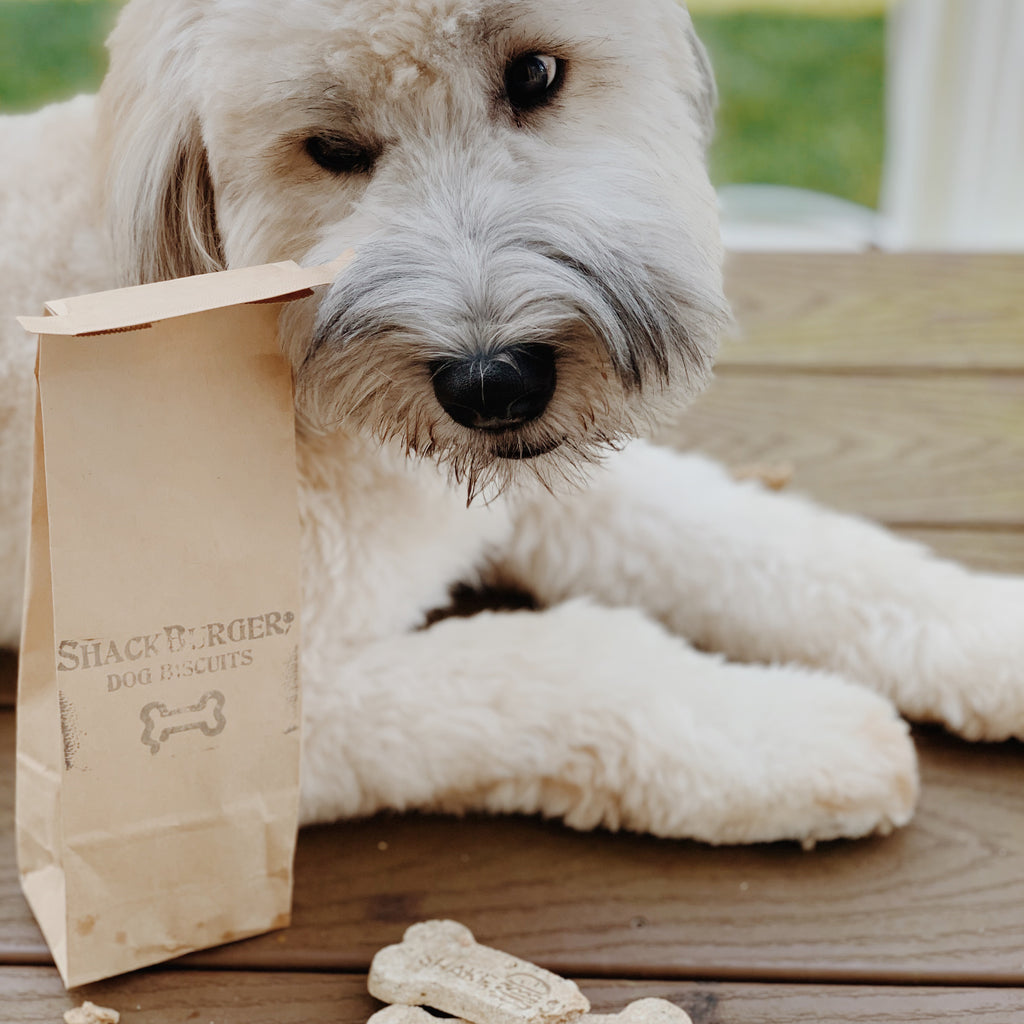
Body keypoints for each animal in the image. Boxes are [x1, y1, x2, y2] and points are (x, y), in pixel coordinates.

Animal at [2, 0, 1024, 843]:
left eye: (534, 74)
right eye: (330, 148)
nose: (495, 383)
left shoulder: (551, 493)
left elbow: (771, 547)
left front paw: (989, 632)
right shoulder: (242, 709)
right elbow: (572, 666)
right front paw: (799, 738)